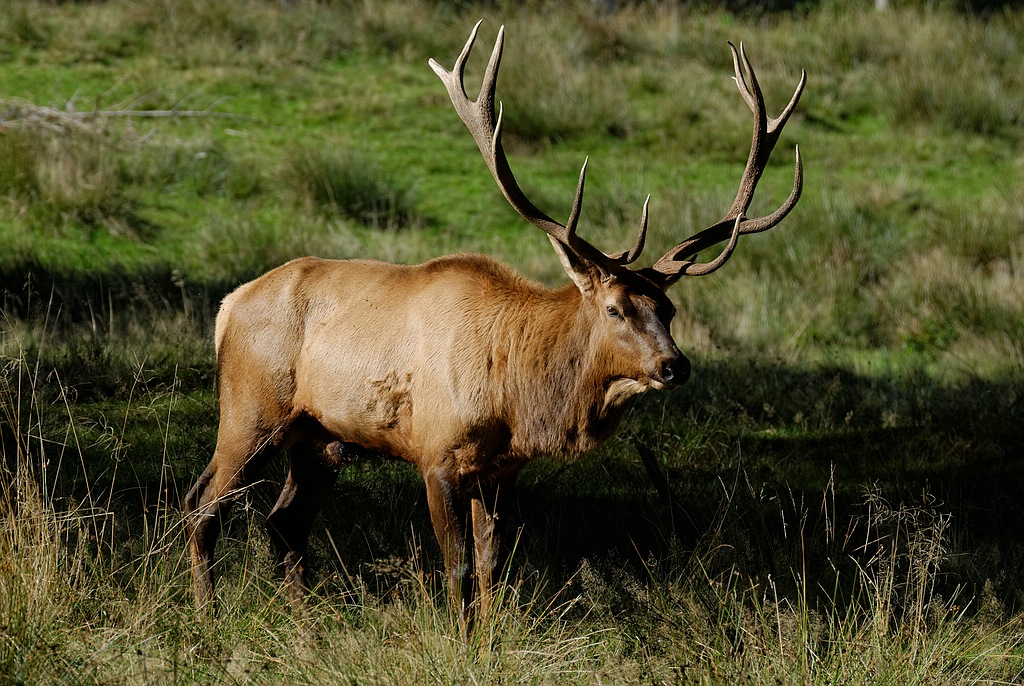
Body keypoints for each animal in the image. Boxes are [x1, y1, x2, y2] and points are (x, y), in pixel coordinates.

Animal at [183, 21, 805, 627]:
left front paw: (488, 641)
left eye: (668, 309)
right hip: (251, 410)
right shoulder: (435, 455)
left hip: (321, 438)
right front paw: (457, 642)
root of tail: (228, 305)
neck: (517, 397)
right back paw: (207, 617)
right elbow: (456, 568)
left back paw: (305, 622)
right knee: (203, 502)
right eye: (614, 308)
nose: (674, 365)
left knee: (284, 520)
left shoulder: (501, 472)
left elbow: (492, 568)